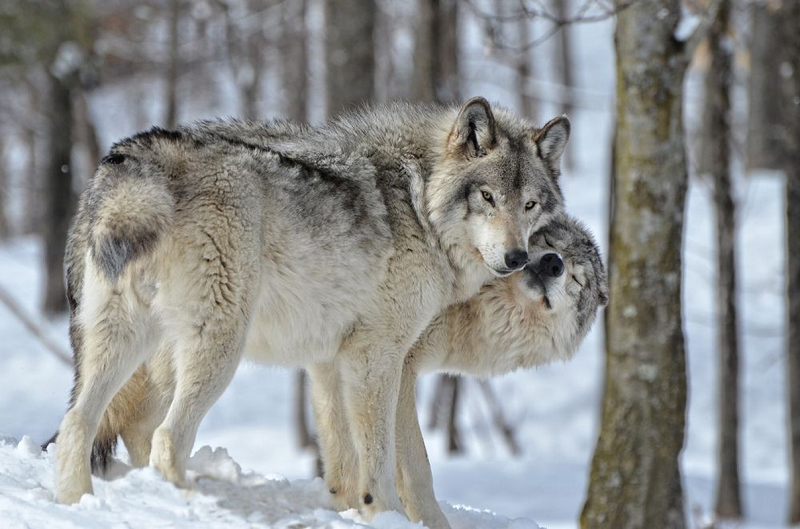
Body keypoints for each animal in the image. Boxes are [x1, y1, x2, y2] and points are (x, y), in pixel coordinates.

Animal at [48, 95, 568, 520]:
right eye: (487, 197)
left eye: (529, 204)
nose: (517, 258)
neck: (419, 203)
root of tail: (132, 158)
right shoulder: (376, 358)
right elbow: (381, 461)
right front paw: (385, 513)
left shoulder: (331, 362)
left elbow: (346, 461)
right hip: (217, 348)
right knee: (166, 438)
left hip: (127, 342)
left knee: (79, 423)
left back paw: (78, 505)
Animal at [322, 211, 608, 528]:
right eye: (547, 241)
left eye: (578, 278)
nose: (553, 263)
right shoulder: (397, 363)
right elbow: (417, 467)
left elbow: (341, 448)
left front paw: (346, 507)